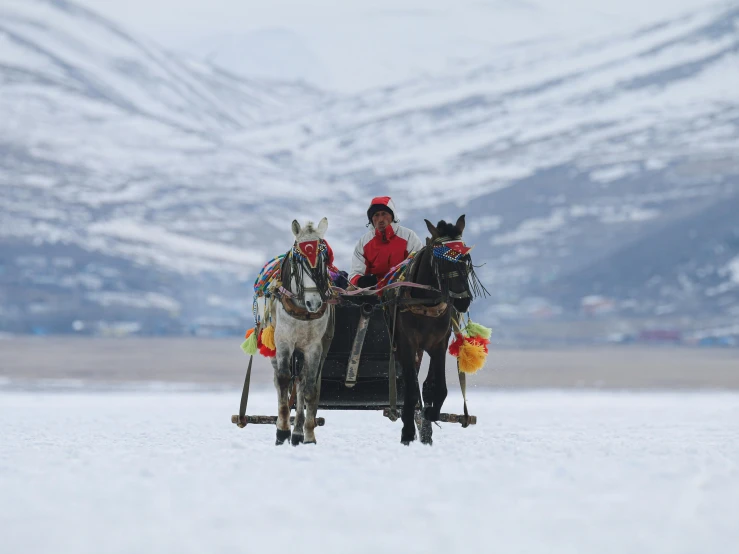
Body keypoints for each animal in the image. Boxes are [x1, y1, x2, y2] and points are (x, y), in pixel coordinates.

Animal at [272, 217, 336, 444]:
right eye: (299, 259)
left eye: (324, 257)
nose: (314, 303)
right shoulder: (283, 341)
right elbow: (283, 380)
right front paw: (282, 430)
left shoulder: (314, 347)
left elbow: (309, 389)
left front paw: (308, 435)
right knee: (281, 381)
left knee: (302, 383)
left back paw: (299, 432)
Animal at [388, 215, 486, 444]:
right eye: (440, 261)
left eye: (466, 259)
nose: (462, 301)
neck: (426, 303)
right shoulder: (406, 342)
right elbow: (411, 389)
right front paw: (407, 431)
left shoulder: (438, 343)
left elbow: (437, 388)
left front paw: (430, 415)